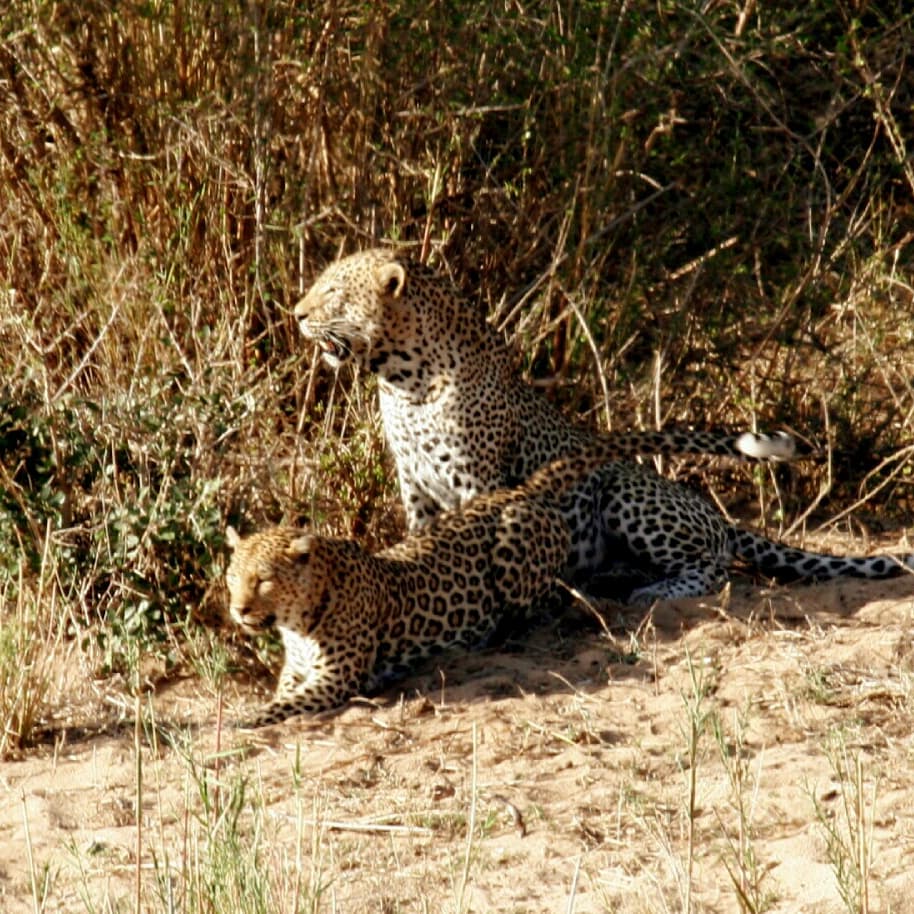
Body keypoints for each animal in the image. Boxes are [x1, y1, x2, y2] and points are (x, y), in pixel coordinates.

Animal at [224, 462, 572, 727]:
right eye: (232, 578)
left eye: (264, 580)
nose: (238, 610)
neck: (296, 624)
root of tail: (520, 490)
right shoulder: (296, 671)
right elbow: (284, 694)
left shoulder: (336, 678)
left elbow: (285, 705)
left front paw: (244, 719)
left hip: (513, 542)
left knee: (551, 601)